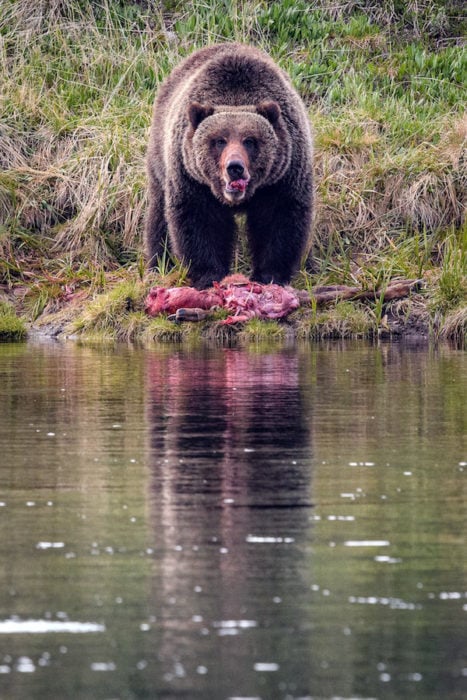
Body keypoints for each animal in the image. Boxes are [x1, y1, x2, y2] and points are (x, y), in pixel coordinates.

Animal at [146, 42, 314, 288]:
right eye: (219, 141)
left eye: (250, 141)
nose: (234, 167)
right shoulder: (192, 179)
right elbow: (199, 222)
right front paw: (208, 275)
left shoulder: (283, 176)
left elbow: (280, 220)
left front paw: (270, 275)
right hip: (160, 161)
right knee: (159, 215)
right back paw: (159, 263)